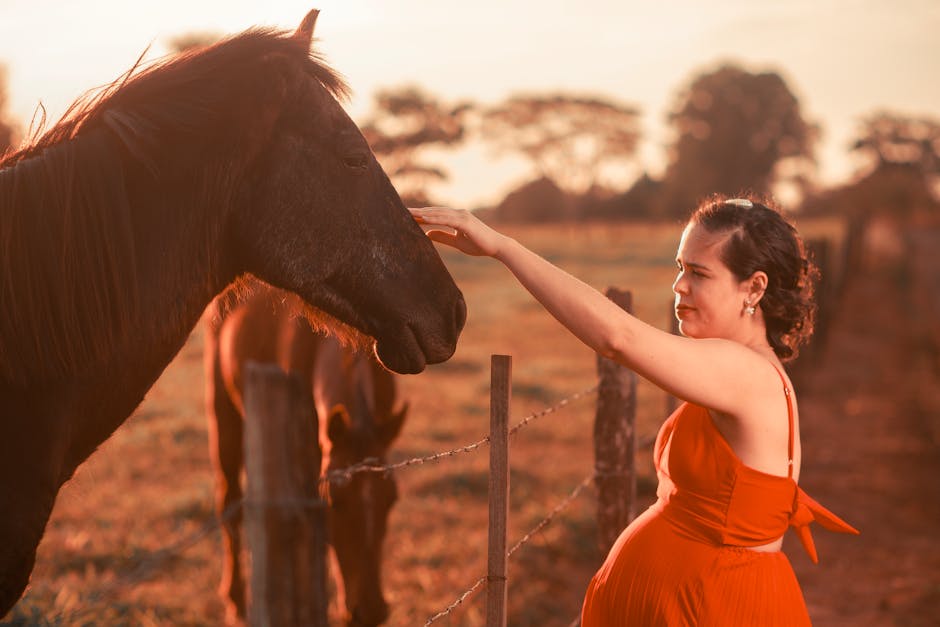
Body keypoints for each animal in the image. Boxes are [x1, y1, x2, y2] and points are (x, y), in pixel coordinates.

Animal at [206, 284, 407, 625]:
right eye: (334, 502)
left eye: (391, 499)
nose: (370, 611)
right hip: (224, 412)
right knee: (229, 501)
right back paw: (236, 599)